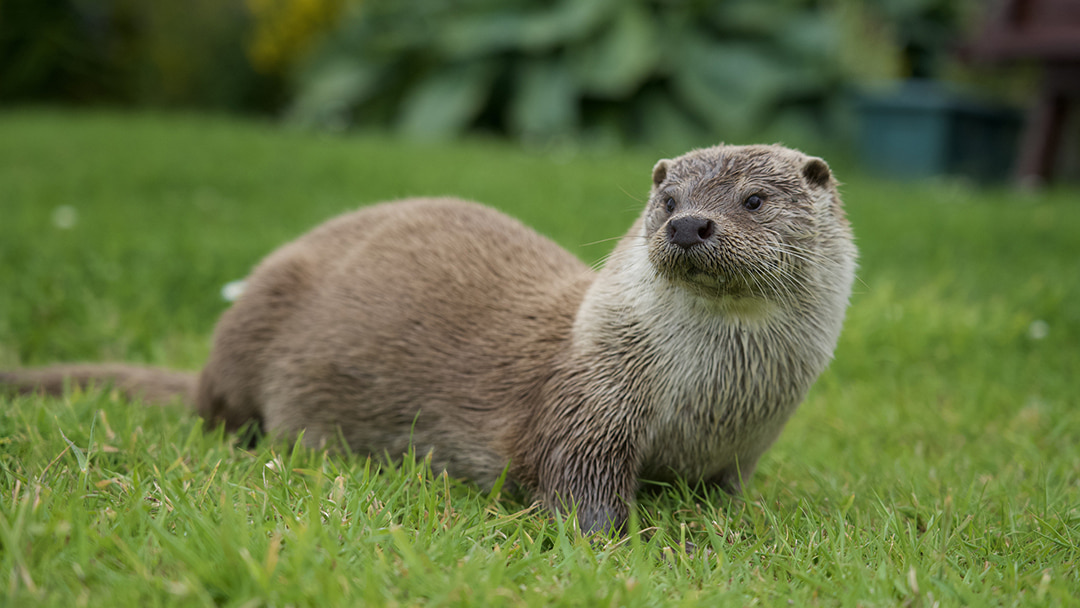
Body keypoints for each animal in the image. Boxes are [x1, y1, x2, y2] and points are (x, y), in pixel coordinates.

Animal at [2, 142, 859, 533]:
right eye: (669, 199)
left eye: (753, 199)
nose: (688, 224)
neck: (713, 404)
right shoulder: (587, 405)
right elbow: (575, 489)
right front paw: (621, 544)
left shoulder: (740, 453)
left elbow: (727, 498)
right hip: (249, 335)